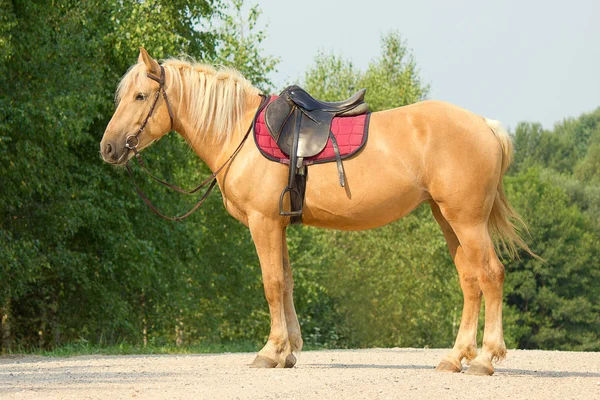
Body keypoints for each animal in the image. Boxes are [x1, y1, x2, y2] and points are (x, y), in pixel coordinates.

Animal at [99, 48, 536, 376]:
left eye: (140, 97)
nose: (109, 148)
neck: (239, 133)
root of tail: (485, 125)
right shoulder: (278, 225)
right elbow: (287, 282)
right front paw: (289, 351)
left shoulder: (263, 223)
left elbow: (271, 283)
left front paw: (271, 351)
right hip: (448, 219)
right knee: (470, 280)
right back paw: (454, 357)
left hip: (467, 220)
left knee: (491, 275)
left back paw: (485, 359)